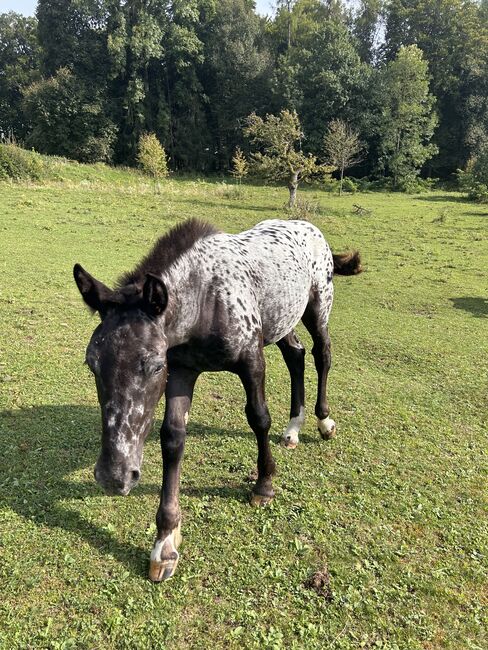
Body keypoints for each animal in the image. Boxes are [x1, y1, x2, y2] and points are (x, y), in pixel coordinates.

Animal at [72, 215, 362, 580]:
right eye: (91, 363)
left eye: (154, 365)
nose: (114, 477)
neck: (205, 300)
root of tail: (309, 228)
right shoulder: (183, 371)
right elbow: (172, 438)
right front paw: (165, 543)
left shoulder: (251, 362)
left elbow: (259, 418)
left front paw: (264, 485)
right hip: (282, 321)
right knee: (295, 355)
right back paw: (293, 429)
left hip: (317, 308)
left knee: (321, 354)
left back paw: (324, 422)